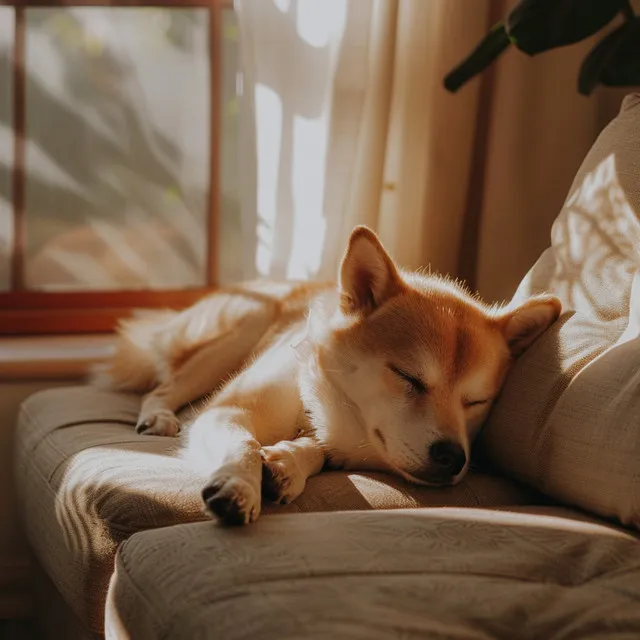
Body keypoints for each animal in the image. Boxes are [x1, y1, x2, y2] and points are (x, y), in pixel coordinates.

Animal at [90, 225, 560, 524]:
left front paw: (287, 462)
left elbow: (316, 451)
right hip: (236, 335)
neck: (315, 407)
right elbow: (244, 444)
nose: (453, 456)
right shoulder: (226, 411)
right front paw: (239, 484)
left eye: (476, 401)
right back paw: (159, 416)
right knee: (162, 387)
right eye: (408, 377)